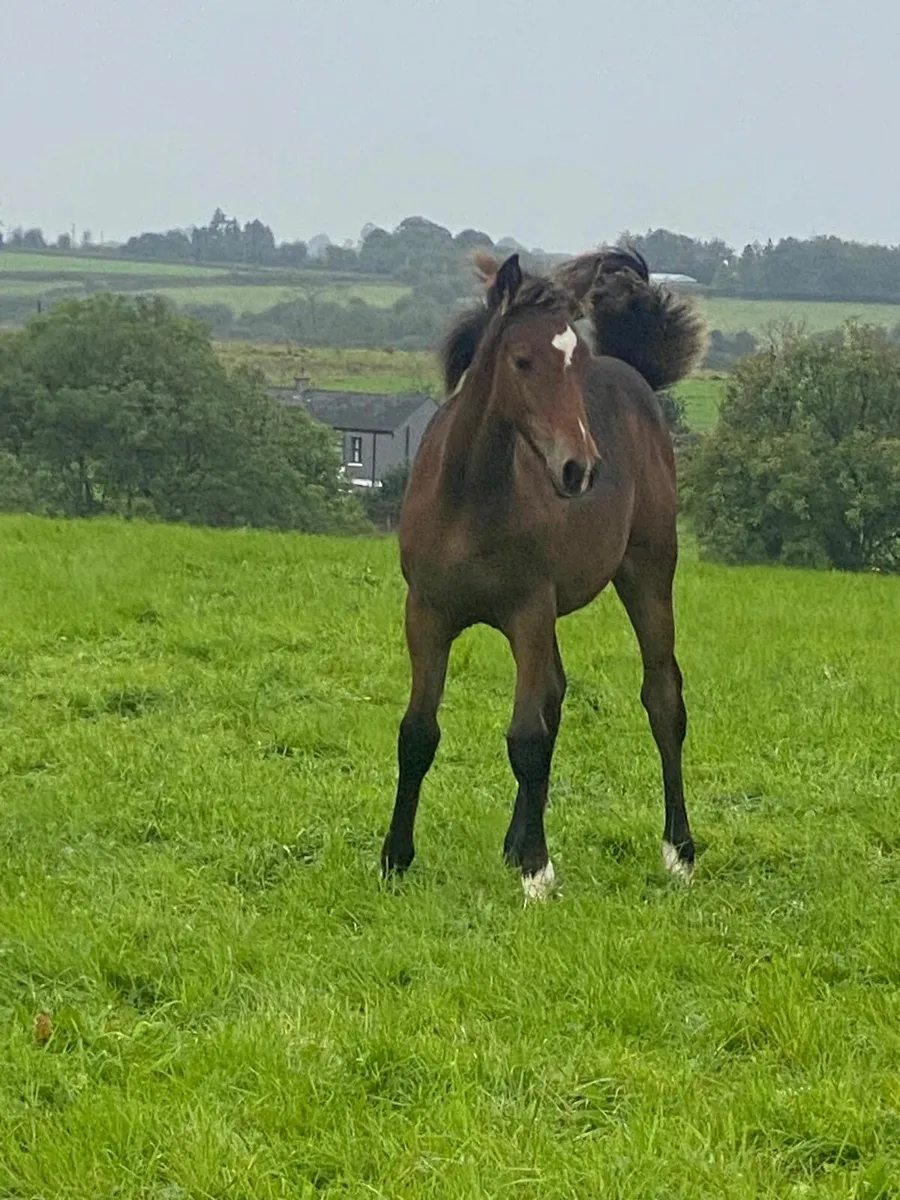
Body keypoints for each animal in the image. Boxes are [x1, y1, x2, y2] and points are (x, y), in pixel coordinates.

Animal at [380, 246, 708, 899]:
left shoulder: (528, 612)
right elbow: (418, 732)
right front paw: (395, 859)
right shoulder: (427, 613)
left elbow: (526, 737)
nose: (579, 469)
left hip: (648, 571)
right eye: (522, 360)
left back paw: (678, 852)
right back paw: (513, 843)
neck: (471, 498)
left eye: (576, 362)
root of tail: (636, 374)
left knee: (662, 698)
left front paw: (537, 871)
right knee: (554, 695)